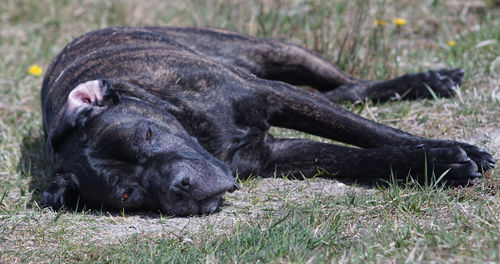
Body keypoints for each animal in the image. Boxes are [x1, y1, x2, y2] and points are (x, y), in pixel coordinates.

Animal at [40, 26, 496, 216]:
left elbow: (369, 132)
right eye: (127, 195)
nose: (179, 187)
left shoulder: (275, 95)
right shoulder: (279, 154)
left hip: (278, 53)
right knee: (344, 92)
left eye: (148, 134)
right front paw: (440, 163)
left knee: (347, 85)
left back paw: (429, 80)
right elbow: (359, 157)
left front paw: (458, 152)